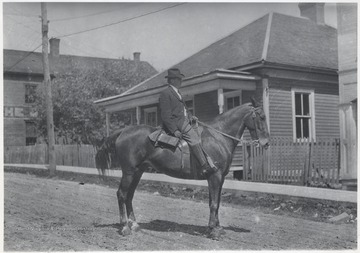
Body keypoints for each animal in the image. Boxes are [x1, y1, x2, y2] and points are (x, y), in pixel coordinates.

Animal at [95, 98, 270, 240]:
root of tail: (123, 131)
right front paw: (213, 231)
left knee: (129, 196)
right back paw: (125, 226)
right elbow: (214, 204)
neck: (218, 137)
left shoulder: (219, 179)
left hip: (138, 172)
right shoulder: (215, 176)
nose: (266, 143)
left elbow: (216, 202)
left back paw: (135, 225)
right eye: (261, 117)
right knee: (121, 194)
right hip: (129, 172)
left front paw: (217, 227)